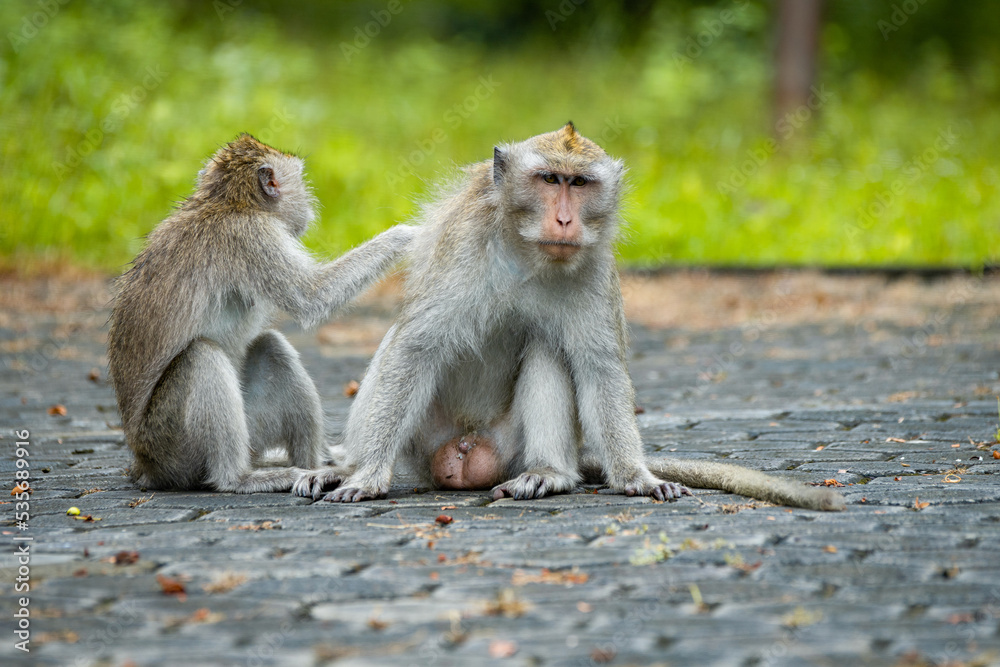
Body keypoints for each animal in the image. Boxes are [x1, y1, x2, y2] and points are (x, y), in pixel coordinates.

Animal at [108, 134, 416, 493]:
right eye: (300, 179)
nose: (310, 205)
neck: (229, 203)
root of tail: (143, 464)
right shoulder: (253, 235)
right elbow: (312, 297)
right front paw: (409, 233)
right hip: (169, 444)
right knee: (201, 357)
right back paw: (239, 478)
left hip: (246, 432)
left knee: (270, 346)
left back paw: (316, 466)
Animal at [293, 124, 845, 512]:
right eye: (549, 180)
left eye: (579, 183)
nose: (564, 219)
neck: (525, 252)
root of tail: (466, 450)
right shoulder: (463, 242)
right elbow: (415, 347)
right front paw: (366, 476)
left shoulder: (595, 266)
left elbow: (598, 366)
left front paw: (637, 478)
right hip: (424, 439)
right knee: (397, 348)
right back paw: (347, 466)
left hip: (508, 447)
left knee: (548, 348)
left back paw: (548, 473)